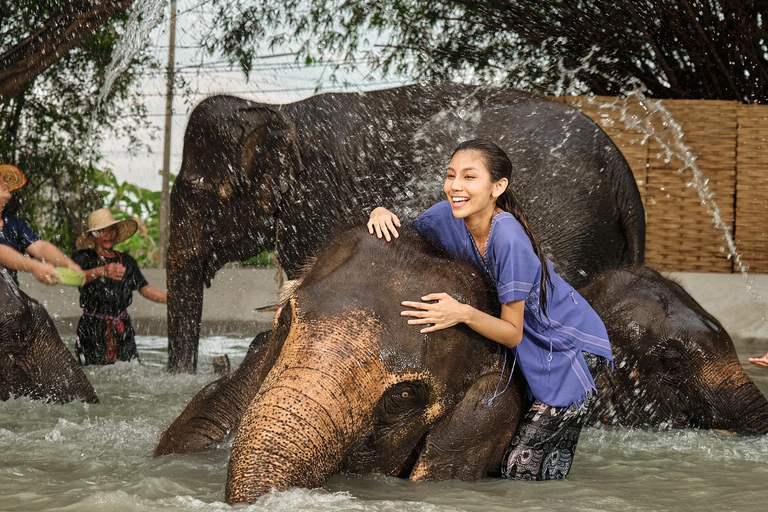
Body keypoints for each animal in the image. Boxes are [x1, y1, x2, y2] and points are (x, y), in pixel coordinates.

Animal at [170, 83, 648, 372]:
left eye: (197, 193)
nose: (184, 374)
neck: (278, 111)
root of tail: (621, 166)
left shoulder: (315, 206)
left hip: (566, 224)